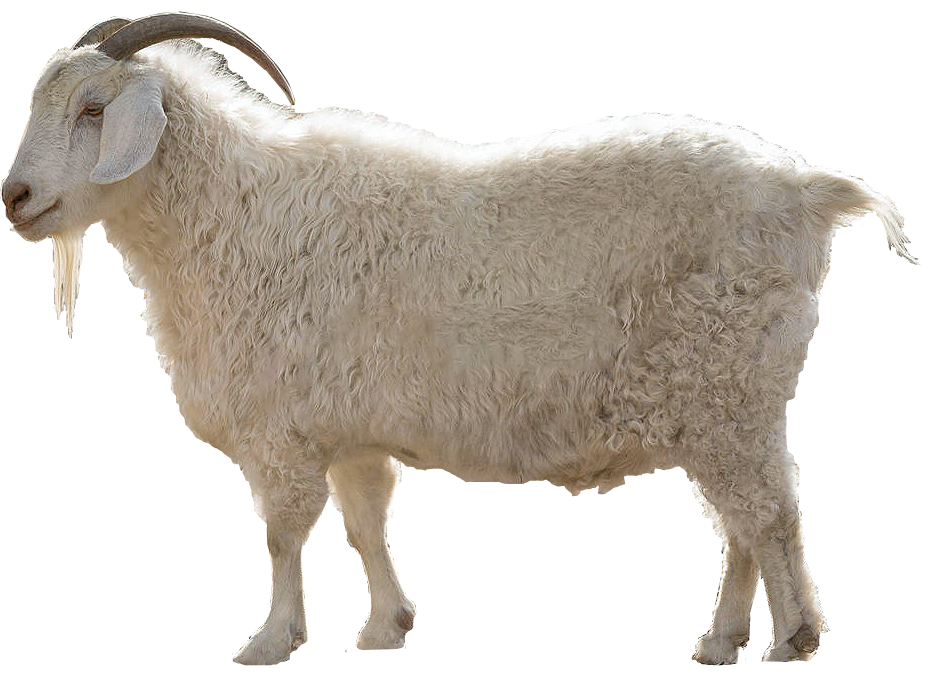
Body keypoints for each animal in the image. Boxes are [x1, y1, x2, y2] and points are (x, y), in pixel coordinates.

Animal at [1, 13, 918, 666]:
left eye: (93, 110)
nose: (16, 198)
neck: (235, 213)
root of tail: (805, 188)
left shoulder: (280, 431)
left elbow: (284, 535)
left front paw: (268, 643)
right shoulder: (348, 429)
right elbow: (366, 518)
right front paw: (386, 633)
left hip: (735, 391)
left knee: (771, 516)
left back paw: (790, 641)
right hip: (722, 408)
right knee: (741, 523)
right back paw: (721, 640)